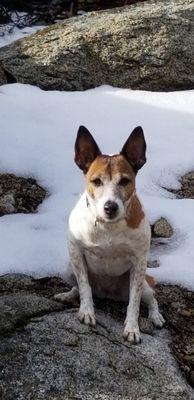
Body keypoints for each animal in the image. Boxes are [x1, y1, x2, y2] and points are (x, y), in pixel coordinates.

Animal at [54, 125, 164, 344]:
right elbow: (84, 287)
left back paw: (155, 316)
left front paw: (132, 328)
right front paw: (87, 311)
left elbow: (134, 303)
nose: (110, 207)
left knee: (151, 298)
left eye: (125, 181)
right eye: (96, 181)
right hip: (67, 269)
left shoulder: (139, 262)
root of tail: (107, 294)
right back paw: (68, 295)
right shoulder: (75, 251)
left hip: (144, 283)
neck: (109, 227)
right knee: (78, 287)